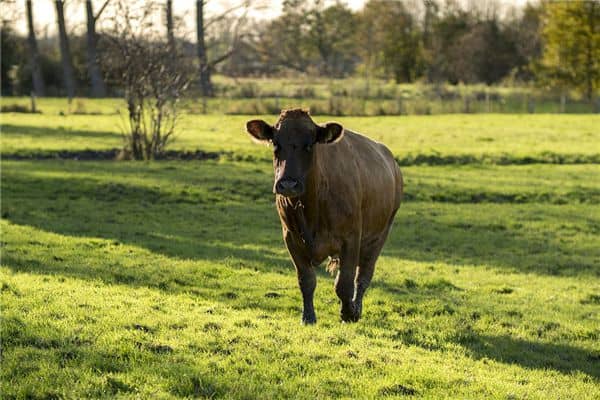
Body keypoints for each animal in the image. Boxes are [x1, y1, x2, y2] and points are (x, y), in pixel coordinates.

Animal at [244, 108, 404, 322]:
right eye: (275, 143)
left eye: (310, 145)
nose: (288, 184)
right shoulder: (291, 238)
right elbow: (306, 280)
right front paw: (308, 317)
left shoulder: (351, 238)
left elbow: (344, 283)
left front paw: (349, 312)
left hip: (380, 234)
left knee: (363, 275)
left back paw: (357, 307)